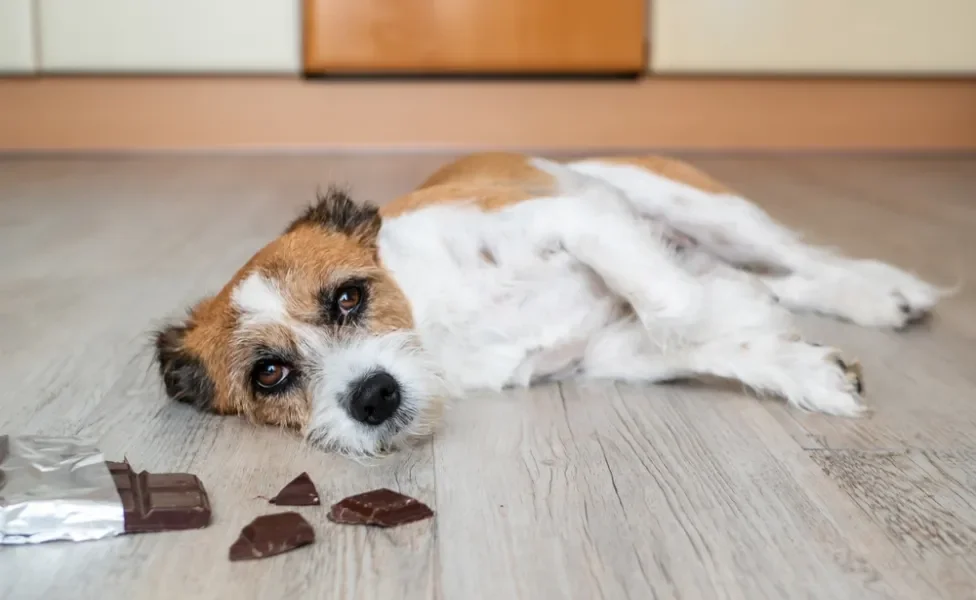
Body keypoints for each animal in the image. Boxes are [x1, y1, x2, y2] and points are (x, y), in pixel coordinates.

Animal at [154, 152, 944, 458]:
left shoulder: (576, 215)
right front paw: (801, 367)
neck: (437, 318)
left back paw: (883, 291)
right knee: (784, 279)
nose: (373, 397)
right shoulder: (605, 352)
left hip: (701, 207)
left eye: (349, 297)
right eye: (270, 375)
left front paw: (729, 312)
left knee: (802, 260)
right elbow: (698, 338)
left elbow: (673, 305)